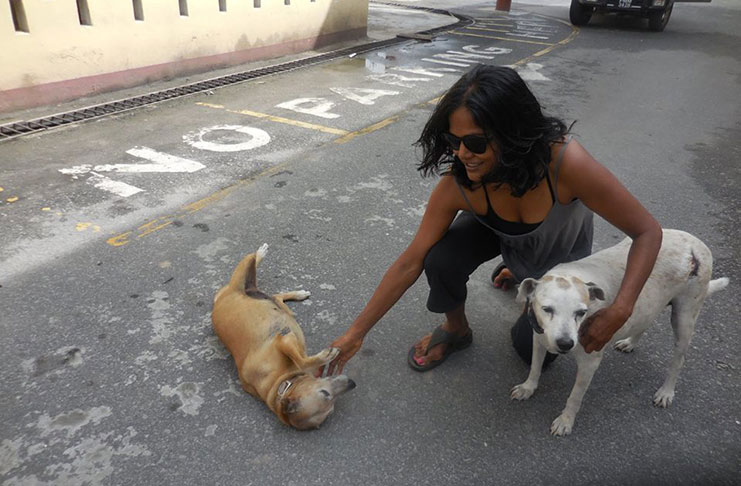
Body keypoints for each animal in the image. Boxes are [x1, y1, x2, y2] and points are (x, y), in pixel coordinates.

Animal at [211, 243, 356, 430]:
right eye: (326, 395)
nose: (352, 383)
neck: (282, 381)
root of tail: (218, 300)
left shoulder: (283, 341)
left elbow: (300, 357)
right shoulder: (285, 339)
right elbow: (303, 359)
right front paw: (325, 356)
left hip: (243, 279)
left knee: (256, 265)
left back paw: (263, 256)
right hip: (244, 283)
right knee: (271, 290)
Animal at [508, 229, 728, 436]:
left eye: (580, 313)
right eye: (547, 309)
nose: (565, 344)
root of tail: (696, 245)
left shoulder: (589, 363)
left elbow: (575, 396)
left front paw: (566, 420)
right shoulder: (539, 339)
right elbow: (535, 367)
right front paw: (528, 388)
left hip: (684, 319)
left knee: (678, 360)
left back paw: (666, 392)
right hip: (650, 301)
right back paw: (630, 343)